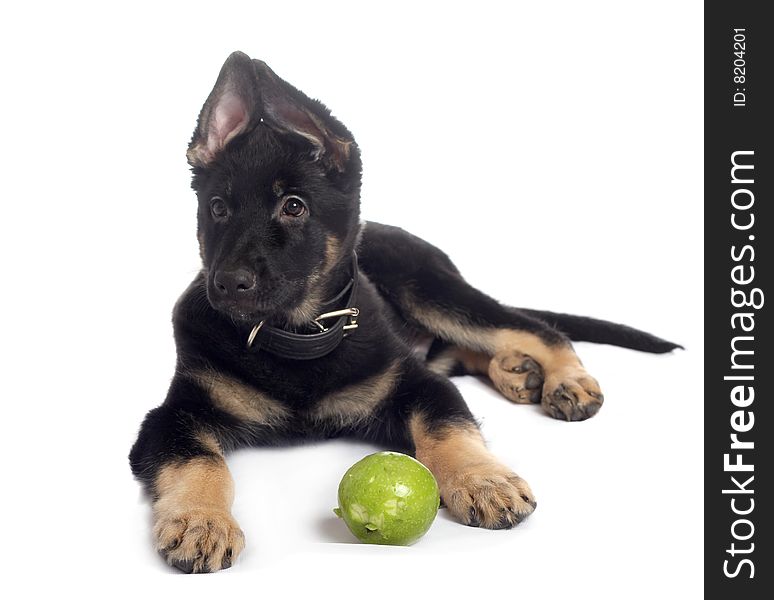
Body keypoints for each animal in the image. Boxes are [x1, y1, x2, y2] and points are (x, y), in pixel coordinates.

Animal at [130, 51, 684, 572]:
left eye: (294, 206)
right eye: (217, 209)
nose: (227, 284)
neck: (298, 339)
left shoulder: (417, 382)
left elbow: (447, 427)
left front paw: (483, 480)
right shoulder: (171, 417)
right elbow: (200, 462)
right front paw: (201, 521)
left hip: (429, 290)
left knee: (532, 329)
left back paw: (564, 380)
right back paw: (517, 373)